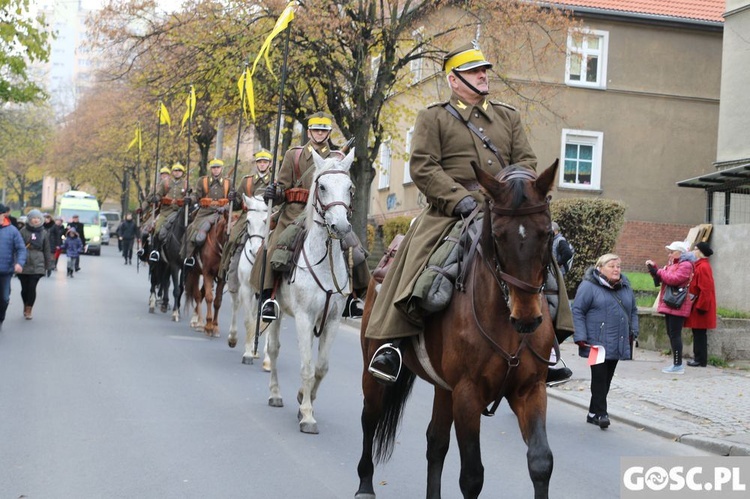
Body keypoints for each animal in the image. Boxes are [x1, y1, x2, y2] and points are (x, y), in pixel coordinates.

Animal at [228, 193, 272, 366]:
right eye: (248, 221)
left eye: (267, 221)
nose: (254, 250)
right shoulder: (246, 289)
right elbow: (248, 320)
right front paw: (247, 354)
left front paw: (268, 359)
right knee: (236, 305)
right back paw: (234, 338)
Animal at [245, 147, 354, 434]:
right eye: (323, 186)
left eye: (350, 187)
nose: (341, 227)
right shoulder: (304, 318)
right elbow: (306, 367)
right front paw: (307, 415)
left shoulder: (332, 320)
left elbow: (321, 367)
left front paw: (306, 399)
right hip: (277, 312)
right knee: (273, 349)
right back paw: (275, 394)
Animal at [360, 161, 564, 499]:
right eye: (498, 235)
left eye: (547, 233)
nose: (527, 318)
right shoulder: (467, 395)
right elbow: (471, 476)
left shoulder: (530, 390)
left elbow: (541, 461)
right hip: (374, 370)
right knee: (370, 418)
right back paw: (364, 484)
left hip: (444, 389)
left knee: (435, 442)